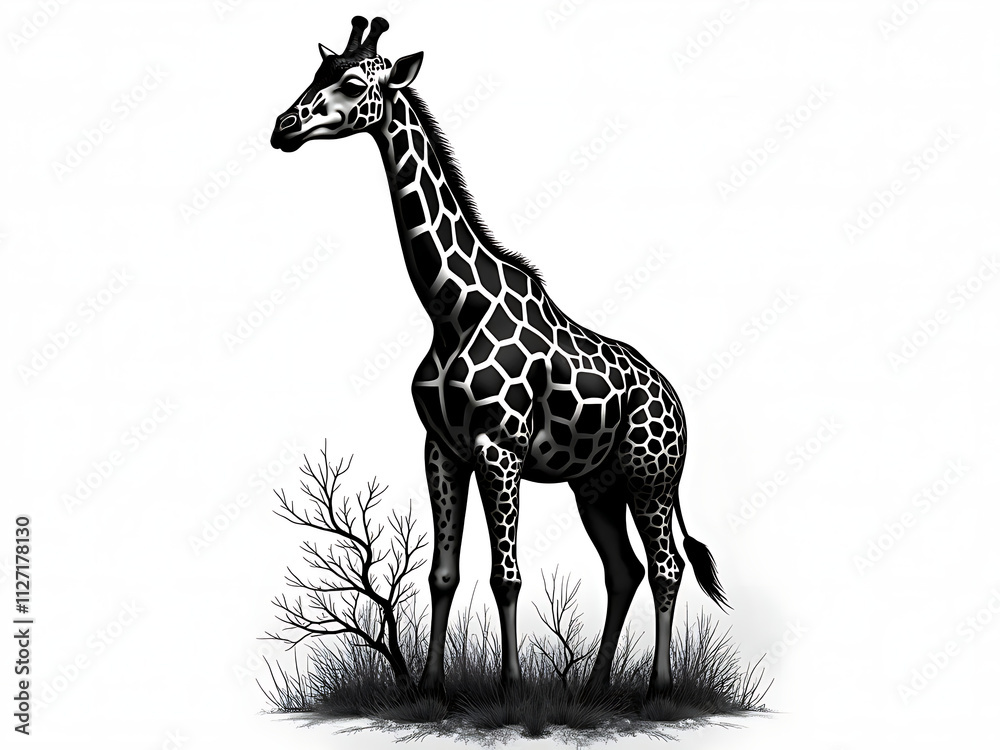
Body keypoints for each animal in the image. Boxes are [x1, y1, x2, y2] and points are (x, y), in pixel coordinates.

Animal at [270, 16, 730, 698]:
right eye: (316, 71)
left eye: (354, 82)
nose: (283, 127)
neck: (451, 310)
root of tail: (677, 401)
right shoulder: (443, 446)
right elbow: (443, 573)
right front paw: (431, 690)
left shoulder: (500, 447)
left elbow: (505, 575)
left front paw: (511, 691)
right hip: (597, 485)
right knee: (624, 570)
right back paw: (595, 689)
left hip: (651, 476)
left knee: (666, 566)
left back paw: (657, 690)